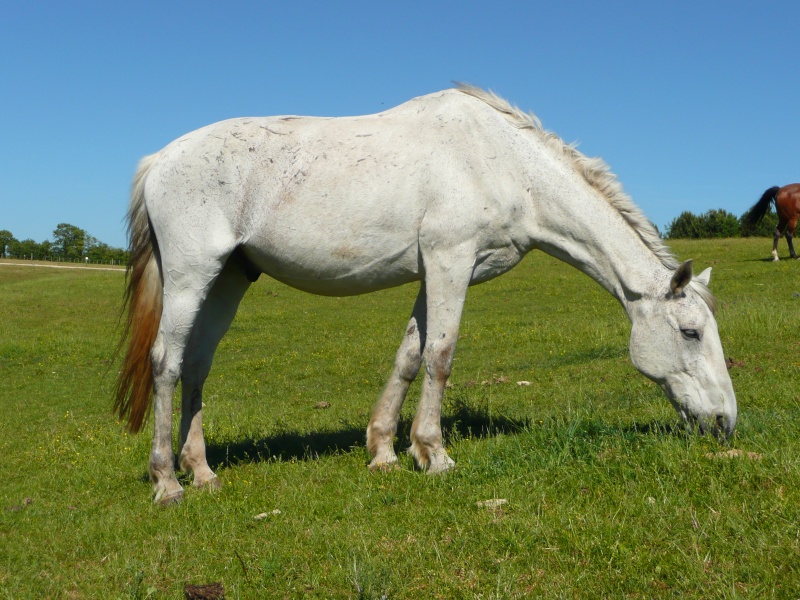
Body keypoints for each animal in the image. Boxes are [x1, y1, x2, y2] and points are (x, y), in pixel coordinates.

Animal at [115, 84, 740, 504]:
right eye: (690, 332)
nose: (725, 423)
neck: (505, 164)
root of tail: (159, 161)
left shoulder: (434, 272)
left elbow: (409, 356)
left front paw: (386, 453)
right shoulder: (449, 262)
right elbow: (440, 355)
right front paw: (434, 454)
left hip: (227, 280)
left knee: (197, 365)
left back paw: (202, 472)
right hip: (193, 276)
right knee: (166, 363)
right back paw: (167, 482)